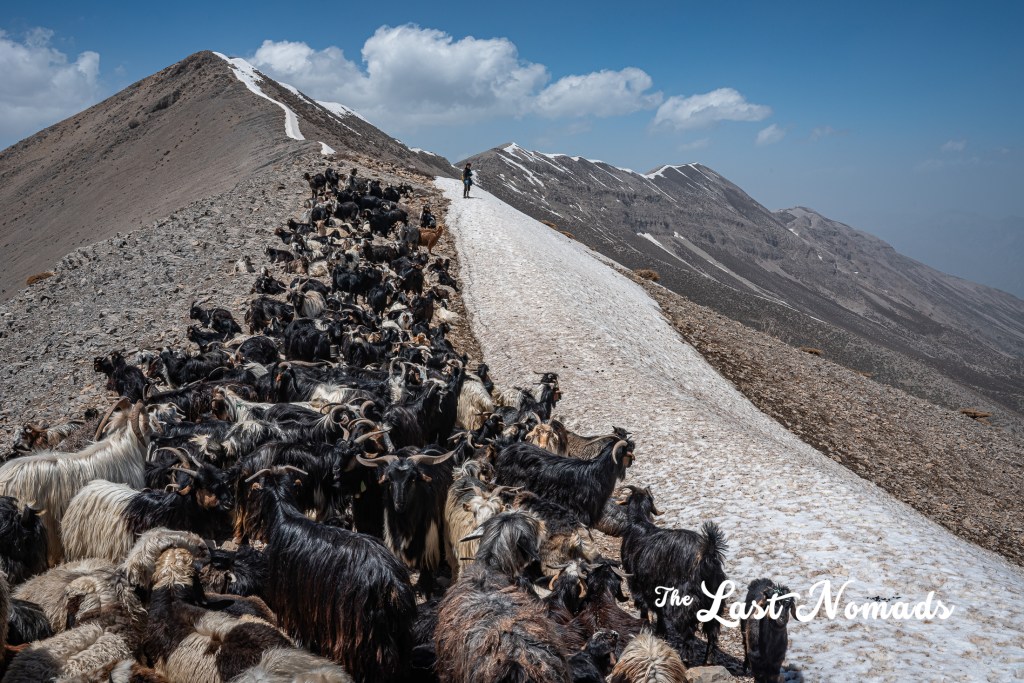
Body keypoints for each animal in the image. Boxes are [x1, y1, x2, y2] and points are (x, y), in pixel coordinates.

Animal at [619, 486, 727, 664]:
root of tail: (708, 555)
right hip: (715, 603)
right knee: (712, 634)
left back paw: (686, 660)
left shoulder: (637, 583)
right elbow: (658, 610)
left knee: (688, 634)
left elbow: (645, 607)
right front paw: (661, 632)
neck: (639, 523)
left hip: (684, 602)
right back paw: (708, 661)